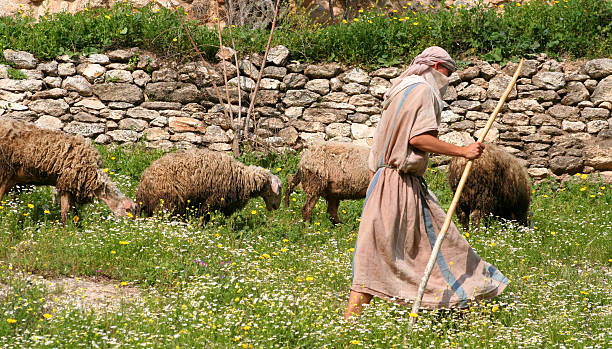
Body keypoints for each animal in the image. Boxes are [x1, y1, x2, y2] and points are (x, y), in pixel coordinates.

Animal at [0, 117, 136, 223]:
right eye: (129, 212)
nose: (132, 230)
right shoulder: (66, 182)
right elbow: (65, 212)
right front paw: (66, 232)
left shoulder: (71, 186)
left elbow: (73, 212)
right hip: (4, 171)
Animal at [135, 147, 284, 218]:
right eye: (279, 188)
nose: (277, 207)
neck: (243, 178)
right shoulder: (213, 201)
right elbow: (204, 216)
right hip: (166, 203)